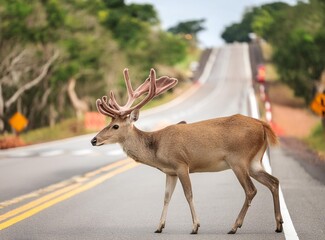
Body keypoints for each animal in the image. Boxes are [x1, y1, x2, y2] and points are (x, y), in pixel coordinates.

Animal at [90, 68, 282, 234]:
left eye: (115, 126)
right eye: (109, 123)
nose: (93, 140)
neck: (157, 150)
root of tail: (263, 125)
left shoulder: (181, 163)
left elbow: (188, 194)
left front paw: (195, 226)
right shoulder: (170, 172)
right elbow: (166, 197)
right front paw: (159, 226)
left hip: (238, 159)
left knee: (251, 190)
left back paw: (235, 226)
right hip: (254, 161)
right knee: (274, 181)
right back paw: (278, 224)